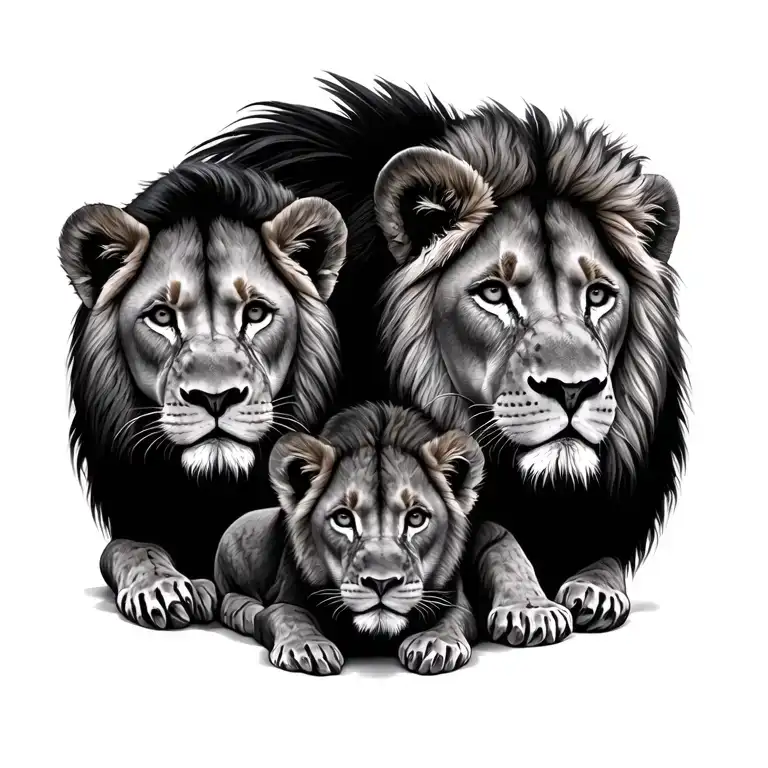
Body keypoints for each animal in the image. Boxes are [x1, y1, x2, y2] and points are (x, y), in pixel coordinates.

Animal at [189, 75, 688, 641]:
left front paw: (595, 587)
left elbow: (601, 555)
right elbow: (492, 532)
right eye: (493, 293)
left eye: (599, 295)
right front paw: (530, 605)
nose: (573, 389)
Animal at [214, 402, 485, 675]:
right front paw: (308, 647)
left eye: (416, 518)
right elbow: (288, 615)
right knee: (229, 599)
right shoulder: (284, 599)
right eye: (343, 518)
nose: (381, 584)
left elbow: (456, 617)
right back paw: (243, 612)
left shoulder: (456, 598)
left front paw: (434, 643)